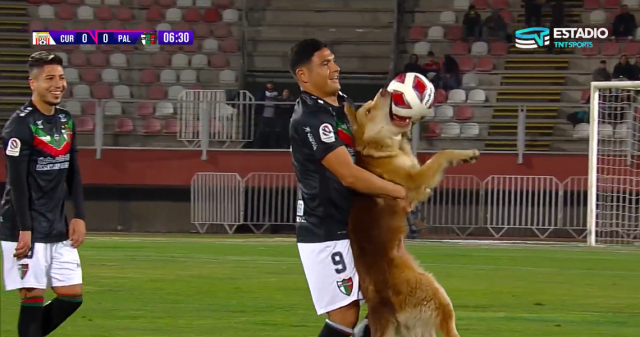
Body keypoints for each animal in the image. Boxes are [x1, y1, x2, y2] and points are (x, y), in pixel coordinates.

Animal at [344, 88, 476, 336]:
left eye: (369, 104)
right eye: (369, 111)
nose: (384, 90)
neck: (379, 152)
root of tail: (382, 311)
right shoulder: (416, 180)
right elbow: (442, 154)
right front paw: (466, 153)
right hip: (436, 295)